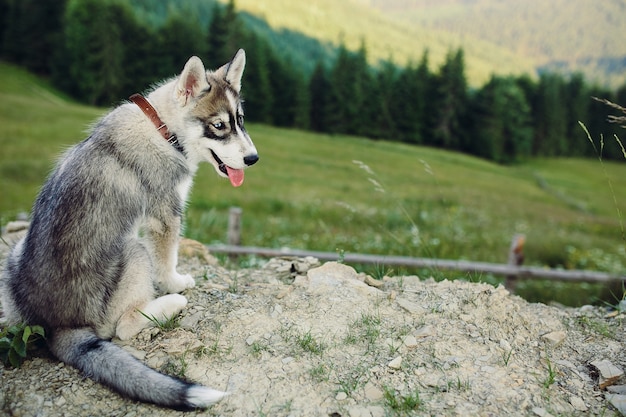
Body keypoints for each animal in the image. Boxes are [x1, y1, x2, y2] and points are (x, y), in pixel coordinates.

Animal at [0, 49, 258, 410]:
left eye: (241, 120)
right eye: (218, 125)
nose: (253, 159)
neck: (162, 127)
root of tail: (58, 325)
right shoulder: (165, 215)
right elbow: (166, 261)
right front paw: (176, 282)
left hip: (14, 255)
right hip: (133, 250)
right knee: (125, 326)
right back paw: (171, 303)